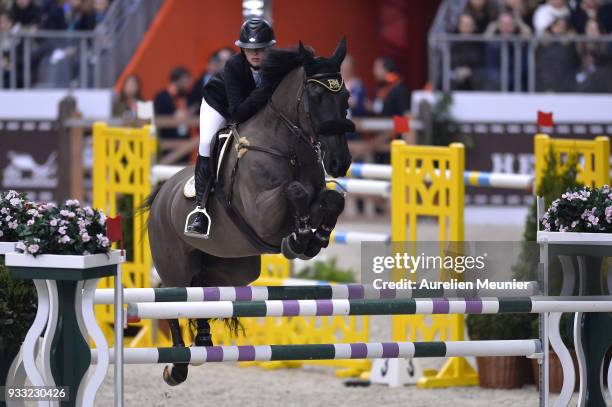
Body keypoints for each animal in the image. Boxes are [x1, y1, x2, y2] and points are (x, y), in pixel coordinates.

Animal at [145, 38, 354, 386]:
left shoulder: (316, 199)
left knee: (203, 292)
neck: (289, 148)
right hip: (174, 265)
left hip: (235, 269)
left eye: (346, 97)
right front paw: (298, 239)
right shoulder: (262, 214)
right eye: (315, 96)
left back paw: (203, 340)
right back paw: (176, 368)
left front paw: (315, 237)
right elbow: (293, 192)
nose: (340, 162)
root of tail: (161, 195)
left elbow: (332, 200)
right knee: (169, 298)